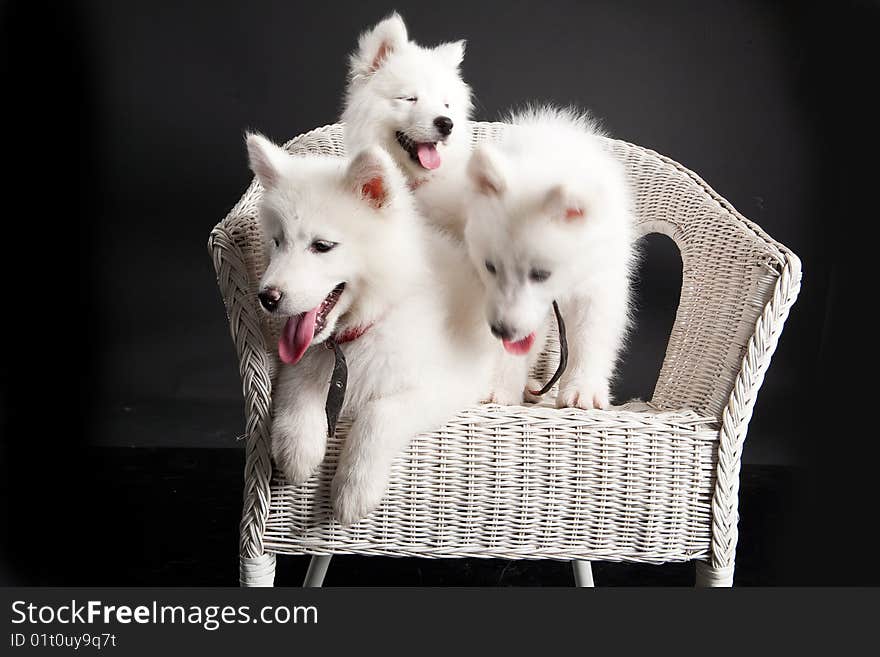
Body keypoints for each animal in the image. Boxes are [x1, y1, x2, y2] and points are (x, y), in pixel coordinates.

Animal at [244, 136, 502, 524]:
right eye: (277, 242)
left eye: (322, 246)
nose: (267, 298)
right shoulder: (307, 363)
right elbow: (297, 385)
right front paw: (298, 448)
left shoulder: (448, 383)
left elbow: (379, 413)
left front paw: (353, 487)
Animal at [464, 105, 636, 408]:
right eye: (490, 267)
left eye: (541, 274)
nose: (502, 330)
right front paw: (498, 387)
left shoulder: (599, 281)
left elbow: (591, 335)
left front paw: (583, 389)